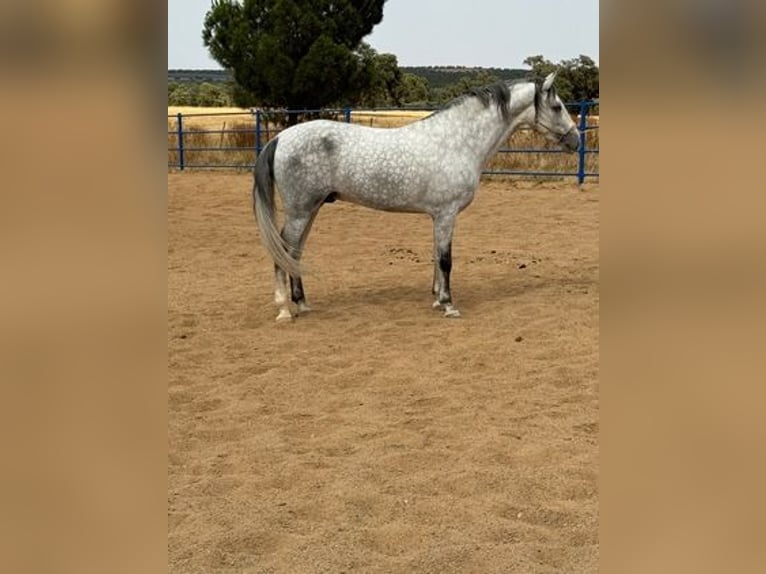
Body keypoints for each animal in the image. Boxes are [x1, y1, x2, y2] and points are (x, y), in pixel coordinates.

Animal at [255, 72, 580, 322]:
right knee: (282, 251)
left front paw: (437, 299)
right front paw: (449, 305)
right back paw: (284, 310)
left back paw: (302, 303)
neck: (456, 141)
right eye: (557, 106)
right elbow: (446, 260)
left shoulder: (438, 216)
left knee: (293, 252)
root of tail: (280, 137)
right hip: (300, 211)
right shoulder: (447, 214)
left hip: (310, 209)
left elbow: (436, 256)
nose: (576, 140)